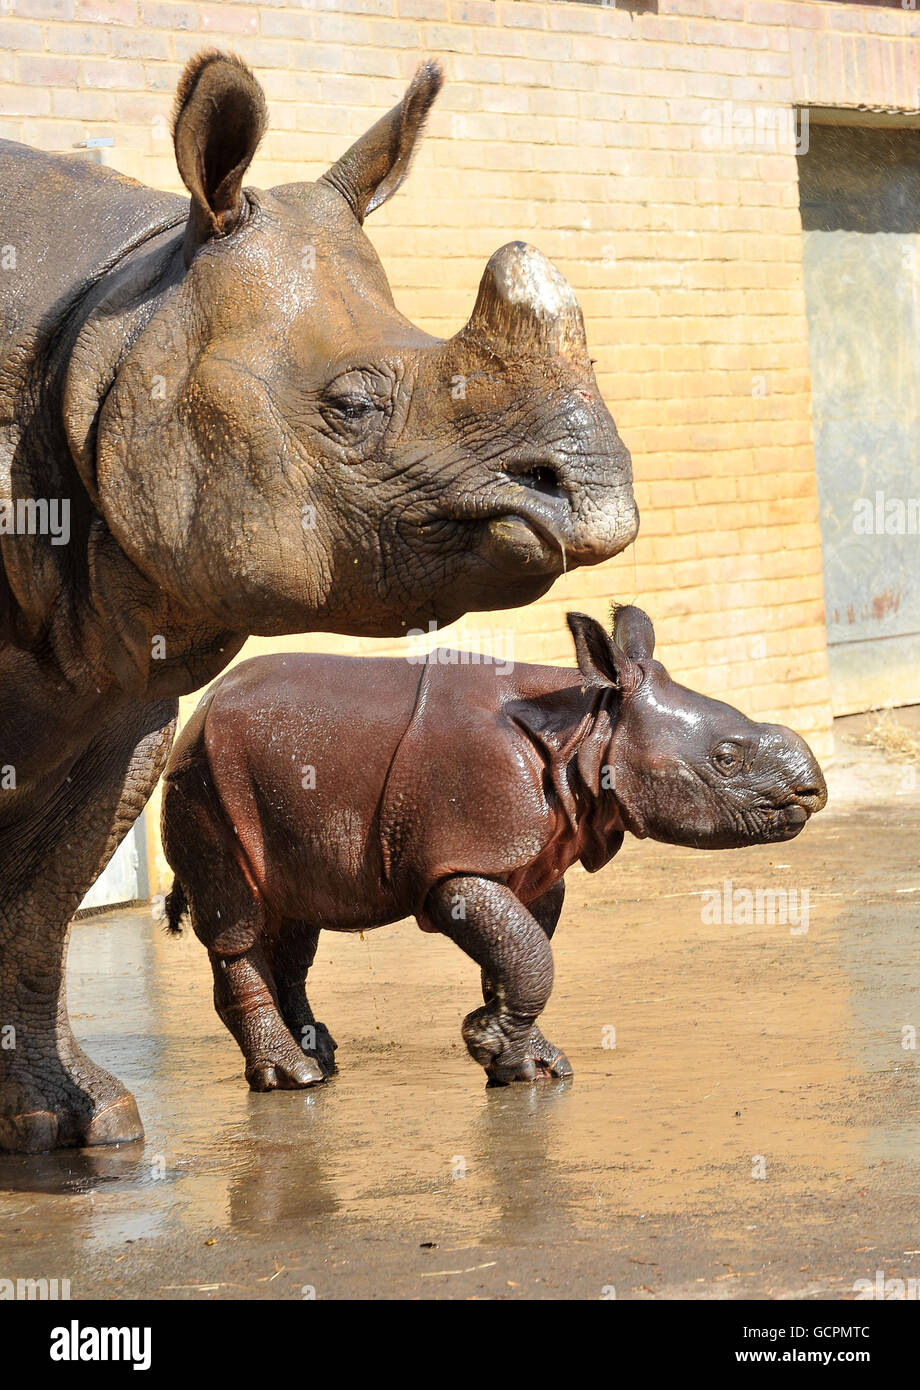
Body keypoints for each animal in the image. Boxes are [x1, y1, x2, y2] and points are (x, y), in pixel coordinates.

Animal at [0, 52, 639, 1151]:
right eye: (350, 406)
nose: (600, 497)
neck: (117, 320)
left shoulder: (117, 681)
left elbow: (43, 902)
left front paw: (82, 1119)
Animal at [161, 606, 826, 1090]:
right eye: (727, 758)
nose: (812, 791)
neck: (589, 730)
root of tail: (198, 712)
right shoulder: (459, 866)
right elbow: (530, 959)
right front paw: (489, 1042)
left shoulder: (531, 862)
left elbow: (516, 957)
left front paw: (520, 1063)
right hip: (201, 781)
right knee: (238, 921)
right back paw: (291, 1078)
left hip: (262, 779)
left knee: (296, 918)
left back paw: (321, 1058)